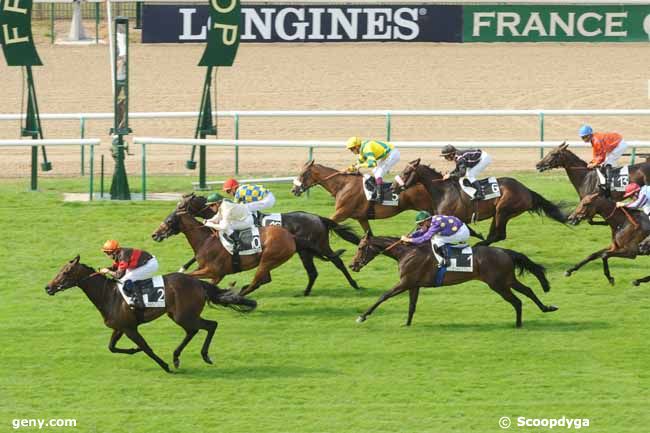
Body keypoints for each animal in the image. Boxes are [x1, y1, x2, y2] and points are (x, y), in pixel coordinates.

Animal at [43, 256, 254, 372]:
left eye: (66, 272)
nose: (48, 287)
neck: (108, 295)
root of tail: (198, 283)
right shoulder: (121, 327)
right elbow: (112, 347)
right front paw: (133, 350)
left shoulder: (130, 328)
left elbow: (146, 348)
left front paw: (164, 366)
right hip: (179, 315)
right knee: (193, 331)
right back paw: (176, 357)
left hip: (183, 315)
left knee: (211, 325)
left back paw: (203, 356)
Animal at [181, 192, 360, 294]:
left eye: (182, 204)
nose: (178, 211)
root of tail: (318, 218)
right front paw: (184, 267)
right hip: (306, 251)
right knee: (313, 271)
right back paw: (306, 292)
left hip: (318, 246)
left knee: (336, 261)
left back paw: (355, 284)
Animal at [290, 159, 436, 233]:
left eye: (303, 174)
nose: (294, 190)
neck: (343, 185)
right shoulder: (362, 218)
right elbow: (369, 234)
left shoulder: (341, 213)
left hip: (428, 208)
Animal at [346, 235, 556, 326]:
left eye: (360, 247)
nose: (352, 265)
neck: (406, 253)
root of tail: (505, 251)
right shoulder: (414, 284)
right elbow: (412, 306)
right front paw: (407, 323)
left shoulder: (405, 282)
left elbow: (383, 296)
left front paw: (362, 316)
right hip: (506, 280)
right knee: (527, 291)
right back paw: (546, 308)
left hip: (498, 284)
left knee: (517, 301)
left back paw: (518, 323)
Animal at [388, 159, 564, 246]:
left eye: (406, 172)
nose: (393, 186)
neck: (444, 190)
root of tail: (526, 190)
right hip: (500, 214)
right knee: (495, 234)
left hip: (503, 210)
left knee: (499, 235)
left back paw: (479, 246)